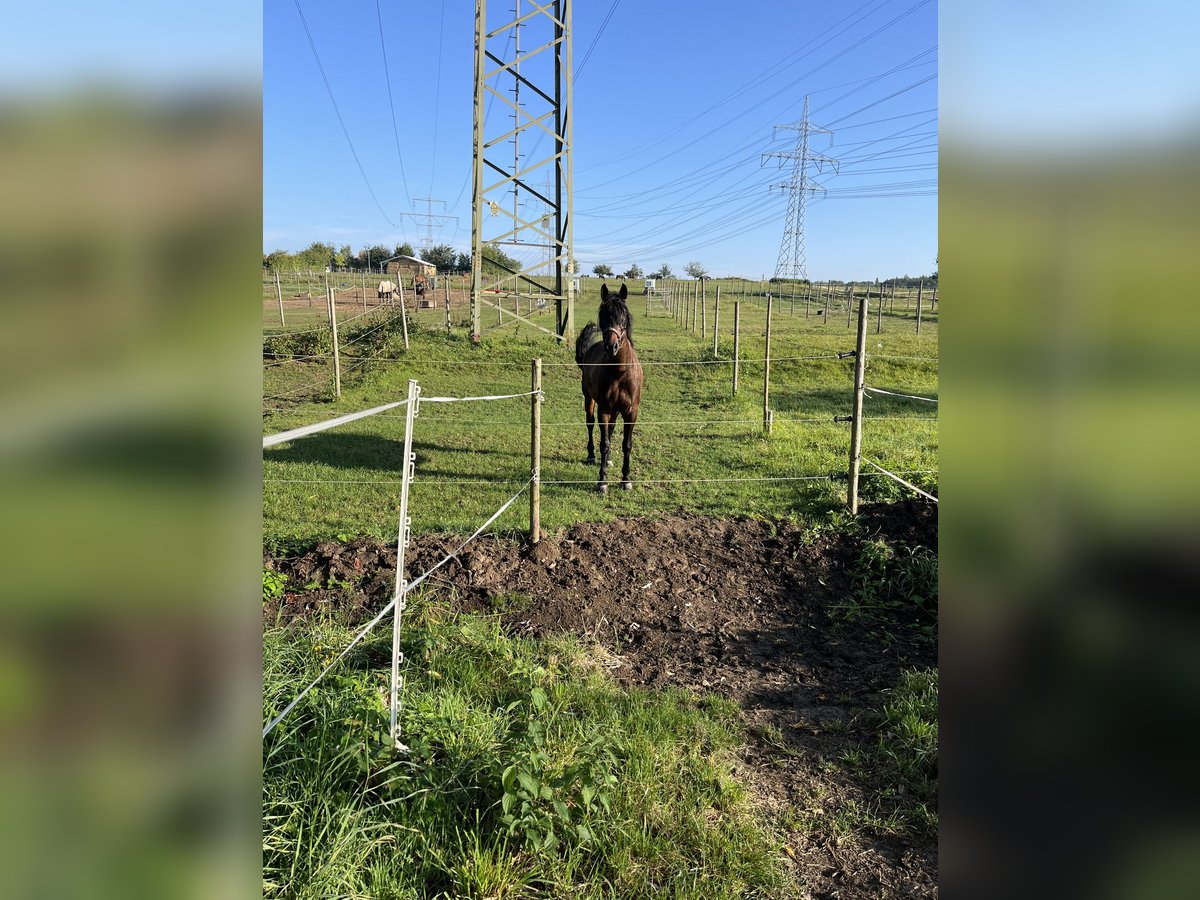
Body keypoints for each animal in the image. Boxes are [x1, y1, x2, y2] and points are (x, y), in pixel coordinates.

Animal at [576, 283, 643, 494]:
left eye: (624, 314)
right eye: (603, 314)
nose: (611, 346)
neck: (620, 372)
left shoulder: (631, 412)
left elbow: (627, 444)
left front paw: (626, 479)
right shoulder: (604, 409)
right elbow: (603, 443)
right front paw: (602, 482)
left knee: (612, 430)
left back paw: (609, 460)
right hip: (589, 399)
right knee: (590, 424)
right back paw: (592, 456)